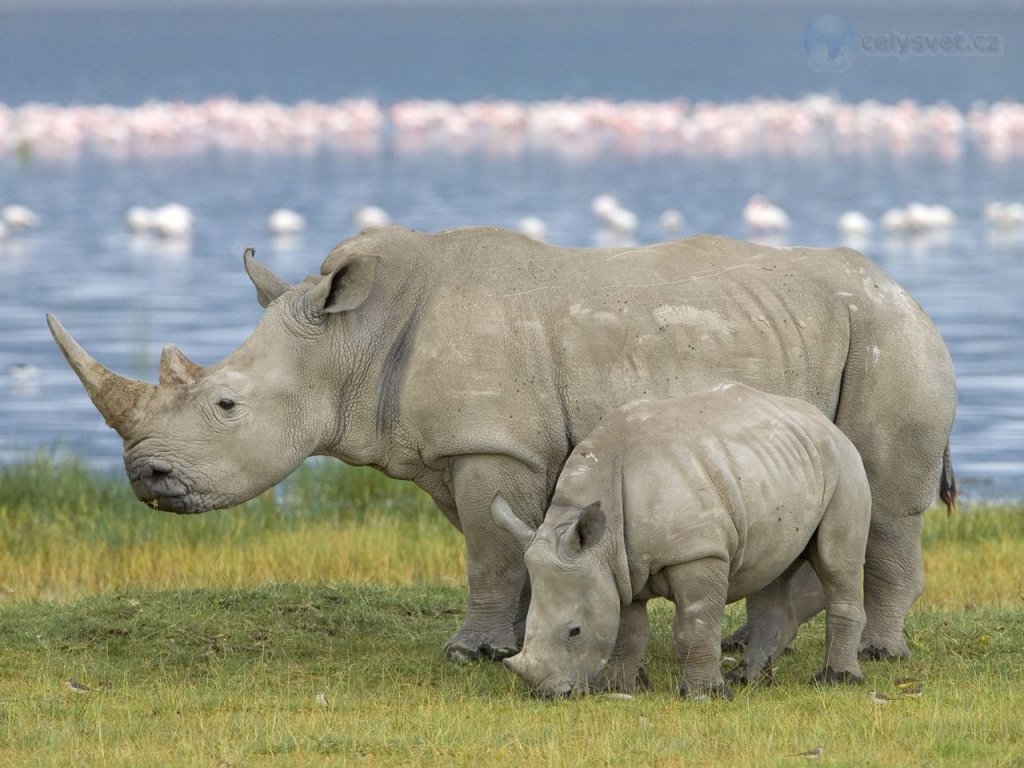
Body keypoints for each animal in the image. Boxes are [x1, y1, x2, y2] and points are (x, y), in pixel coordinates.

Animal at [47, 225, 956, 663]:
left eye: (226, 404)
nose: (145, 476)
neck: (352, 340)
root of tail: (907, 291)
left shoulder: (493, 445)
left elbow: (488, 552)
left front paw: (469, 654)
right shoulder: (469, 451)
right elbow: (506, 548)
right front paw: (522, 640)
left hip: (890, 339)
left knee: (885, 505)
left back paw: (876, 653)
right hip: (845, 332)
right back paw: (745, 644)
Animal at [490, 384, 872, 698]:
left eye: (575, 631)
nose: (547, 694)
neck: (601, 540)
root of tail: (822, 420)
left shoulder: (697, 553)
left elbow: (695, 624)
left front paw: (703, 695)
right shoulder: (619, 567)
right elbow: (629, 631)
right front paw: (621, 688)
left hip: (845, 463)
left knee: (837, 563)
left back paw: (837, 680)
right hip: (780, 465)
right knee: (770, 570)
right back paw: (748, 680)